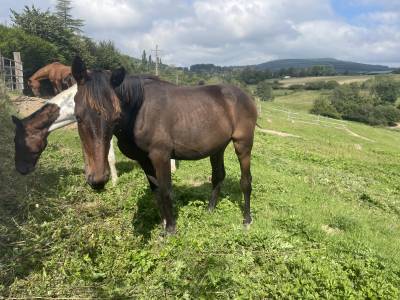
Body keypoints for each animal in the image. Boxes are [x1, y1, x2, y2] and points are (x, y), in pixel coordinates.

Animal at [70, 56, 258, 234]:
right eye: (78, 116)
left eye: (116, 117)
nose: (98, 180)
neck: (139, 112)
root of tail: (246, 96)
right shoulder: (144, 160)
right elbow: (157, 191)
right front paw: (163, 224)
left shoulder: (161, 156)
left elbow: (166, 190)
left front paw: (171, 229)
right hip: (218, 147)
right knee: (218, 176)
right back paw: (210, 209)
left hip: (243, 144)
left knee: (246, 180)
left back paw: (247, 220)